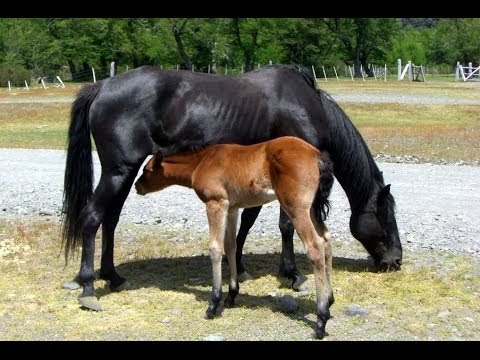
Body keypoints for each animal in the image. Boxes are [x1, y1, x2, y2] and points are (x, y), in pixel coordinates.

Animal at [62, 66, 404, 314]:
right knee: (92, 217)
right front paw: (292, 274)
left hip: (123, 172)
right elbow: (285, 225)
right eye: (385, 216)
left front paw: (239, 267)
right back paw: (89, 288)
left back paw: (112, 277)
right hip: (119, 171)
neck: (304, 105)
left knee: (110, 220)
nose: (396, 261)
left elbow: (246, 224)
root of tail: (101, 87)